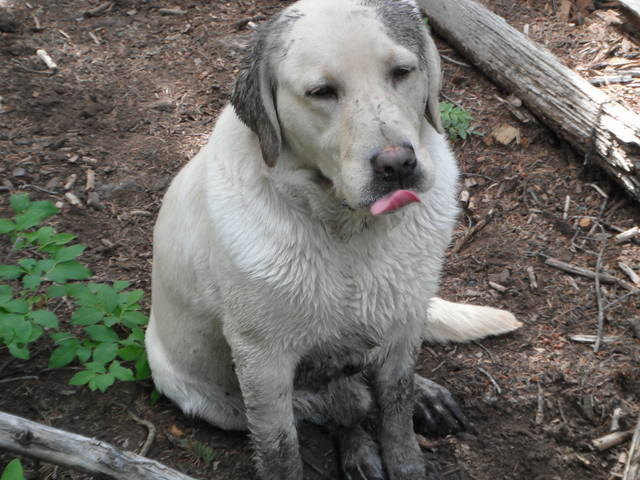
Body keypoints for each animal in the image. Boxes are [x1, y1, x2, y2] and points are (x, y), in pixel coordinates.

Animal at [146, 0, 521, 478]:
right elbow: (281, 450)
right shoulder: (262, 363)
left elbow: (397, 413)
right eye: (322, 92)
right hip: (209, 396)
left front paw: (407, 453)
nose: (397, 165)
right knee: (339, 407)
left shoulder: (403, 322)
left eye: (402, 72)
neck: (351, 233)